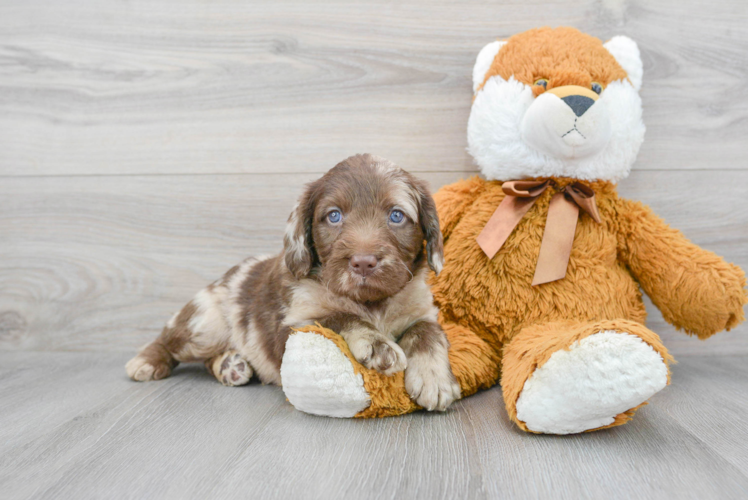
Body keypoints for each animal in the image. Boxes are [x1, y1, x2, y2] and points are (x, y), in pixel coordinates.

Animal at [124, 154, 462, 412]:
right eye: (334, 216)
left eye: (396, 216)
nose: (363, 262)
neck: (371, 302)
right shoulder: (294, 323)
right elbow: (339, 316)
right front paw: (378, 343)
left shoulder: (421, 309)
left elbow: (427, 332)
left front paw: (434, 378)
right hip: (205, 323)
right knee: (169, 338)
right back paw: (146, 361)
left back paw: (229, 366)